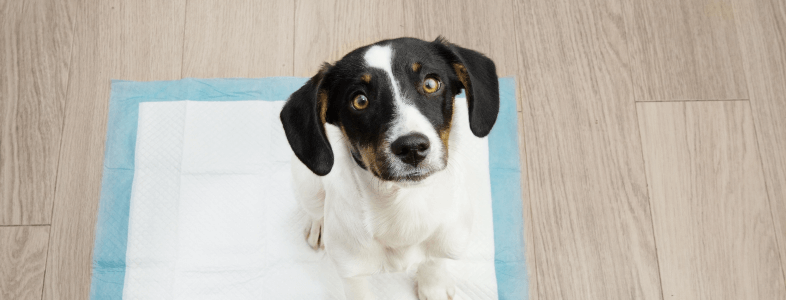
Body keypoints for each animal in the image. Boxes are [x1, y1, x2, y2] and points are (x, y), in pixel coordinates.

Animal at [280, 37, 496, 300]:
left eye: (431, 83)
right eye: (359, 100)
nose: (412, 147)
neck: (405, 205)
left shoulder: (447, 239)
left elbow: (434, 261)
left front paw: (433, 286)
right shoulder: (352, 272)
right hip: (307, 182)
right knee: (313, 207)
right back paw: (318, 226)